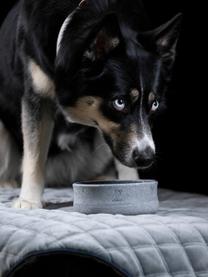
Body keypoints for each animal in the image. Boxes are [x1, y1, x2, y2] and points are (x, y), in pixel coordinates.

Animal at [0, 0, 182, 207]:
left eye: (154, 104)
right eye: (119, 102)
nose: (146, 158)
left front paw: (133, 185)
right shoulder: (37, 95)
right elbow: (35, 153)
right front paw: (29, 200)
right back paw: (7, 181)